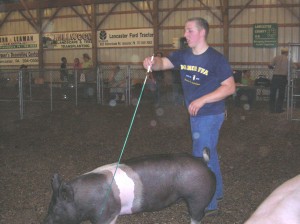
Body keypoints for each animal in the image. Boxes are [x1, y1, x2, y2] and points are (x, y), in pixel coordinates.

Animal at [42, 153, 216, 223]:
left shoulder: (107, 215)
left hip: (198, 197)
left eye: (56, 210)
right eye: (49, 207)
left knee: (197, 215)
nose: (45, 222)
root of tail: (203, 161)